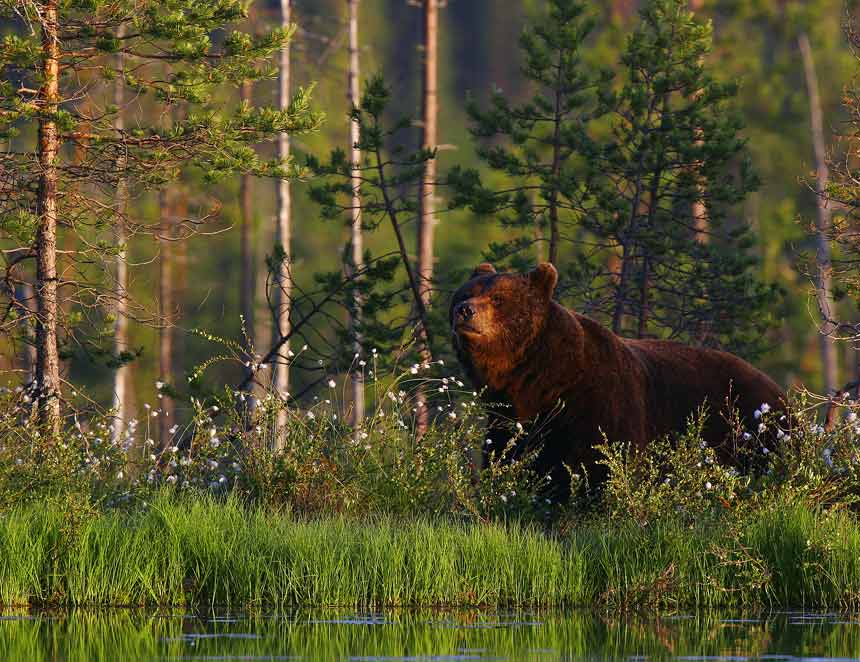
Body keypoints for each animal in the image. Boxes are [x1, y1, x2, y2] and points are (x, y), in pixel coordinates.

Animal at [450, 264, 788, 498]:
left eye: (498, 298)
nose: (465, 310)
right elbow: (506, 456)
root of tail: (778, 389)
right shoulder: (506, 416)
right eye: (465, 292)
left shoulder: (599, 402)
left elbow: (601, 462)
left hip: (752, 429)